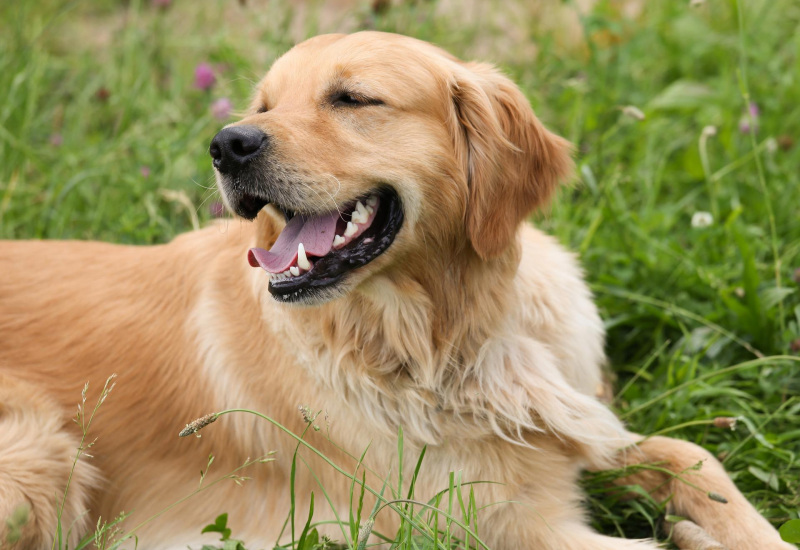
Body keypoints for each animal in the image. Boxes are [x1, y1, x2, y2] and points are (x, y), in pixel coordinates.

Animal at [0, 33, 788, 550]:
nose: (227, 144)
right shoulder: (501, 526)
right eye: (264, 103)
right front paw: (692, 537)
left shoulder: (579, 419)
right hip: (44, 455)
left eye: (352, 98)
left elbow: (691, 454)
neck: (454, 330)